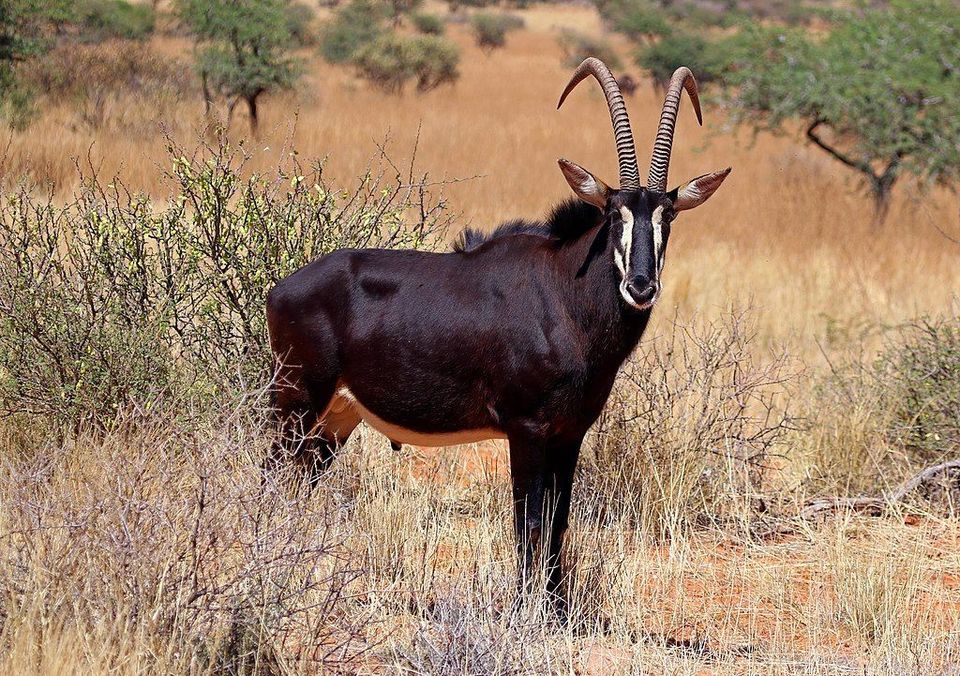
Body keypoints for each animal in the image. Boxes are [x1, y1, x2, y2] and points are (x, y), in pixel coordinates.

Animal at [266, 58, 730, 601]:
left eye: (667, 216)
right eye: (615, 214)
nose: (641, 285)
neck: (564, 295)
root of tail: (282, 288)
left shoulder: (569, 433)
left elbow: (558, 522)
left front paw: (555, 608)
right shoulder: (527, 429)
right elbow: (528, 523)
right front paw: (527, 609)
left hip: (335, 418)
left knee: (300, 481)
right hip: (296, 400)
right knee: (273, 476)